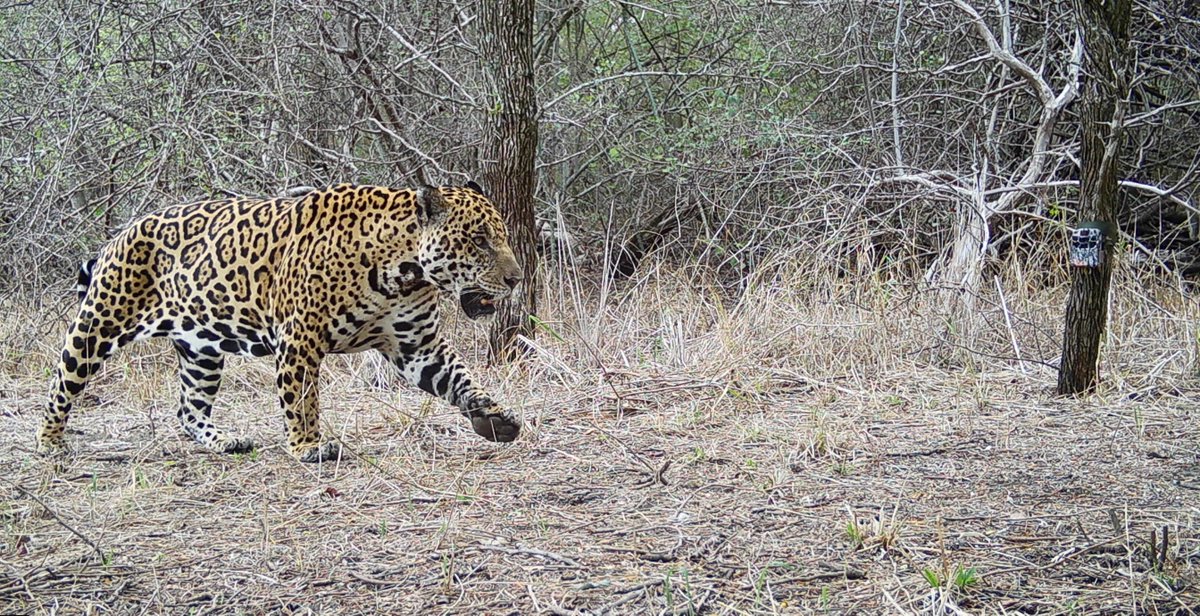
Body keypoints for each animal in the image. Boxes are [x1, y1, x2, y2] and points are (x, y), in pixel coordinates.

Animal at [37, 182, 523, 462]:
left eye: (499, 236)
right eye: (479, 240)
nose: (516, 279)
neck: (402, 271)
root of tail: (117, 236)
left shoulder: (416, 345)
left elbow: (459, 377)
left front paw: (494, 418)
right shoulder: (300, 338)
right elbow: (303, 398)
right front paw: (308, 447)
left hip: (201, 348)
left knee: (189, 407)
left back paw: (225, 440)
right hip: (99, 321)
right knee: (62, 382)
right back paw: (50, 443)